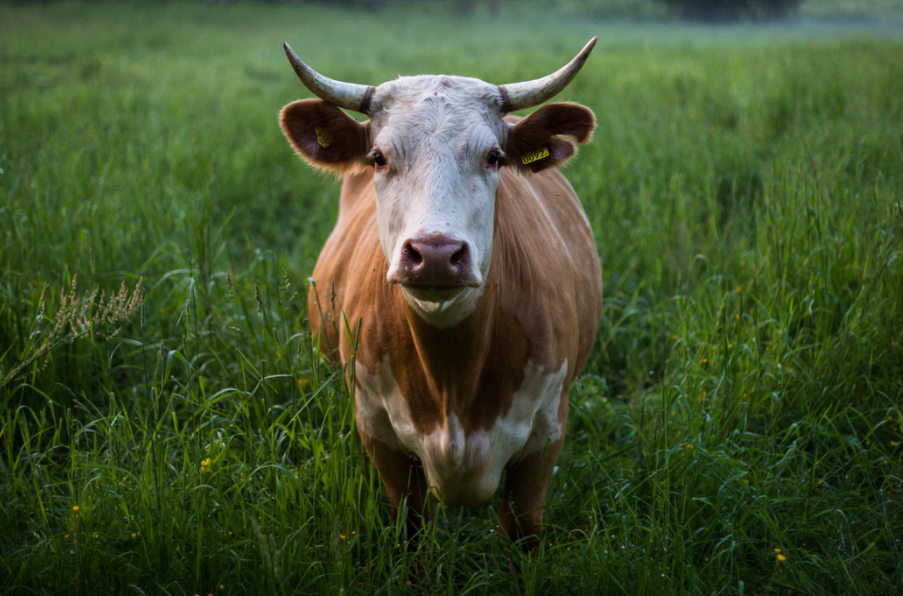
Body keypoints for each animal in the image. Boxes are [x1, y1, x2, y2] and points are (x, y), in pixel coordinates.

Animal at [278, 39, 604, 552]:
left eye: (494, 156)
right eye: (378, 157)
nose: (434, 254)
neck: (453, 378)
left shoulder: (544, 441)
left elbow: (523, 534)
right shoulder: (381, 438)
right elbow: (413, 532)